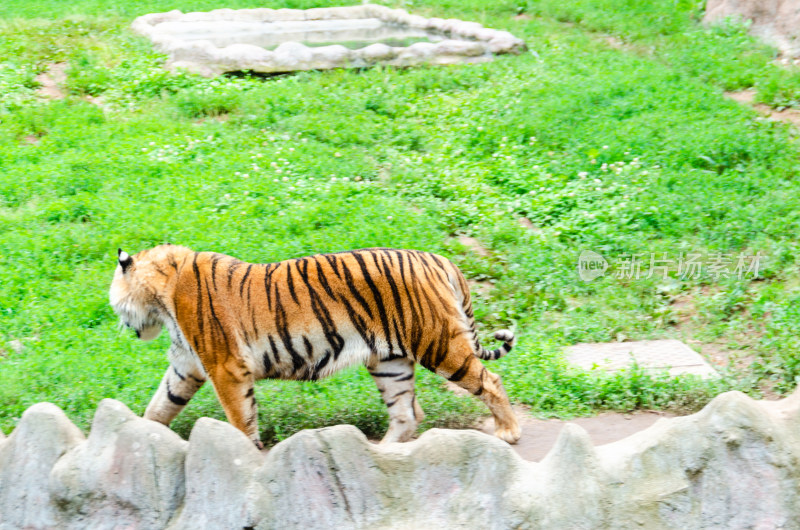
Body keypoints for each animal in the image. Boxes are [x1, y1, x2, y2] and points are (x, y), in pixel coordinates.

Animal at [109, 243, 520, 446]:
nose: (122, 324)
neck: (162, 299)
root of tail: (441, 260)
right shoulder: (186, 366)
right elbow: (159, 406)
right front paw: (142, 434)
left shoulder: (225, 367)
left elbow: (240, 417)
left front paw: (247, 452)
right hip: (389, 361)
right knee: (407, 413)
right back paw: (383, 454)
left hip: (439, 344)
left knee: (490, 381)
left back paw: (509, 432)